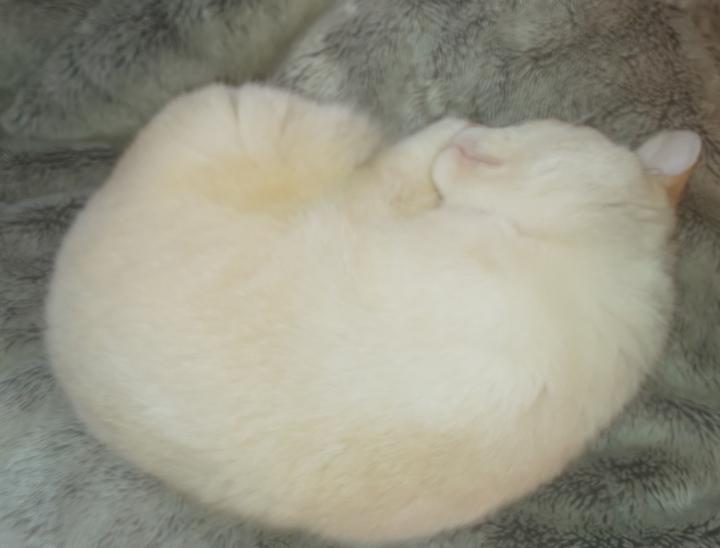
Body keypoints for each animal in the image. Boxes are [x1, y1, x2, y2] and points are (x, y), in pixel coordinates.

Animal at [44, 83, 701, 543]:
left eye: (538, 128)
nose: (482, 121)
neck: (587, 252)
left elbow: (397, 176)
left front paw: (445, 130)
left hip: (258, 113)